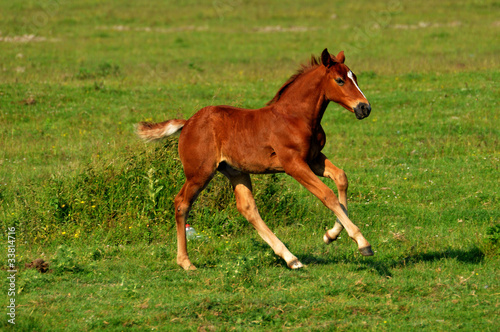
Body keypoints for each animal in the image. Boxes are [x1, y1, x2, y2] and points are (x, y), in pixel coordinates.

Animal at [137, 48, 372, 270]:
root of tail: (187, 123)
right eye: (340, 80)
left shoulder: (314, 159)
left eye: (355, 77)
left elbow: (341, 178)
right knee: (181, 204)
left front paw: (331, 235)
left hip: (236, 171)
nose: (365, 108)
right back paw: (185, 262)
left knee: (248, 208)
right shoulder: (294, 164)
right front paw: (362, 243)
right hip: (199, 173)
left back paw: (291, 258)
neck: (296, 117)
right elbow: (327, 195)